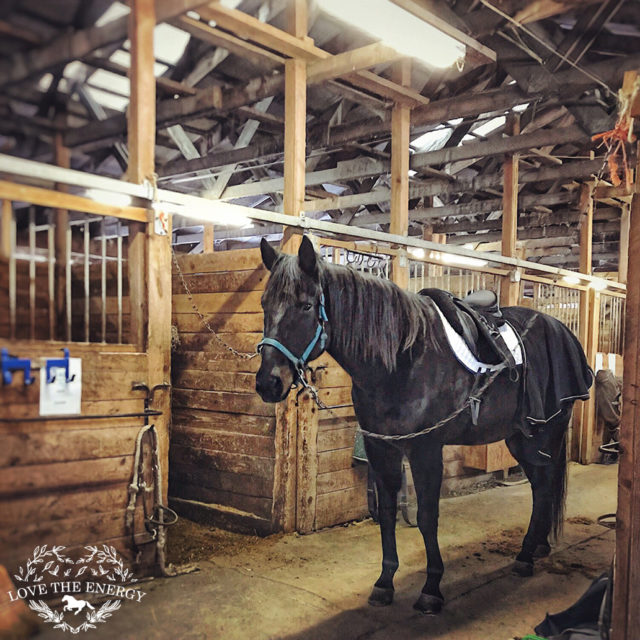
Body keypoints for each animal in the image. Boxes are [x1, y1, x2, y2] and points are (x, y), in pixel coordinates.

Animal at [255, 236, 592, 615]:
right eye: (265, 304)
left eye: (306, 305)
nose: (268, 383)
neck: (403, 359)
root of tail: (562, 331)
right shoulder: (381, 448)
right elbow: (388, 512)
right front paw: (384, 583)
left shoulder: (425, 449)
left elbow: (428, 517)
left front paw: (431, 589)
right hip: (522, 438)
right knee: (540, 486)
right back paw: (536, 547)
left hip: (546, 433)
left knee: (544, 486)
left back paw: (525, 556)